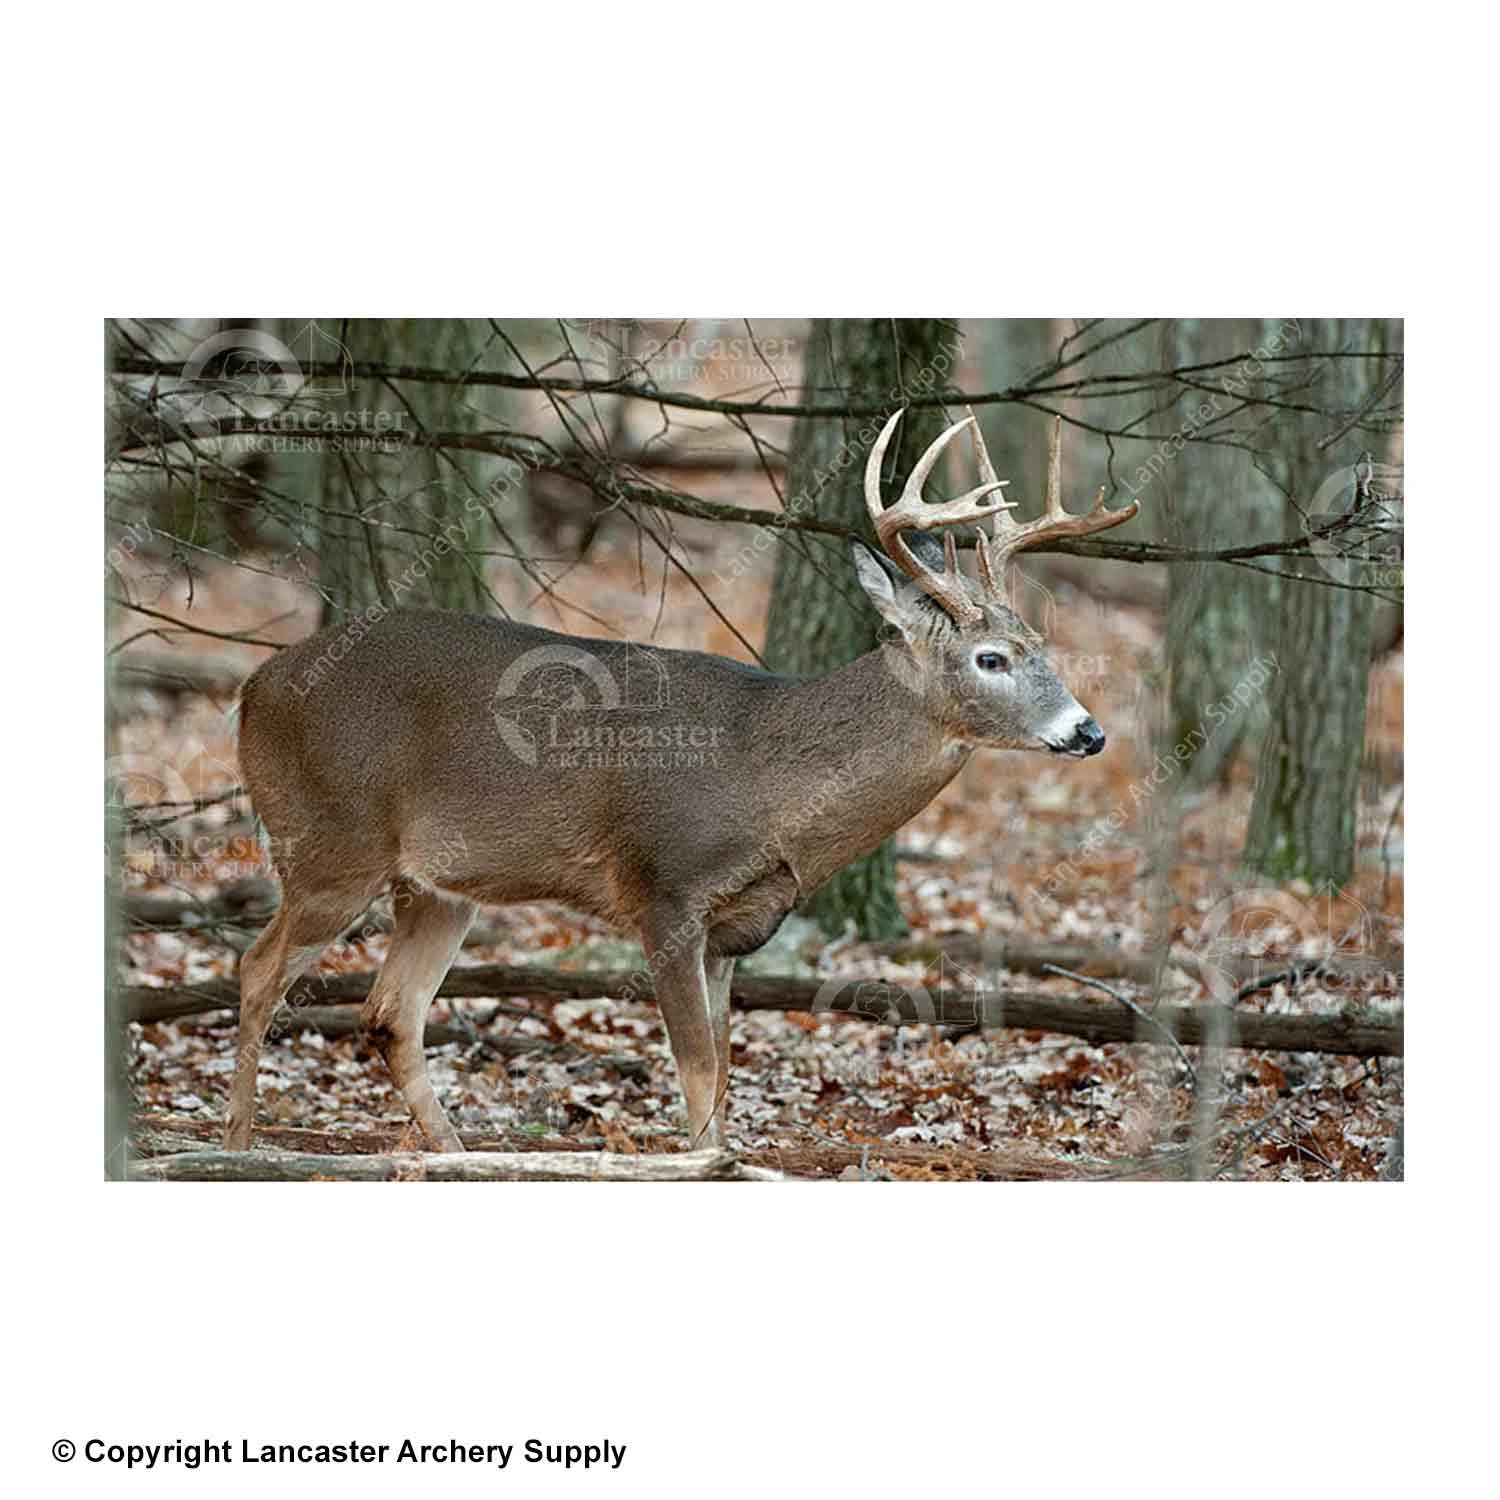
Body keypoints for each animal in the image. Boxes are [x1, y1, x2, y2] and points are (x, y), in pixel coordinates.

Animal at [223, 409, 1139, 1154]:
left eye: (1042, 646)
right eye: (992, 658)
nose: (1088, 732)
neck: (771, 785)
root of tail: (252, 688)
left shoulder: (735, 928)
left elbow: (726, 1073)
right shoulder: (663, 888)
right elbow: (697, 1072)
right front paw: (703, 1164)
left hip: (439, 885)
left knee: (390, 1012)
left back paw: (454, 1154)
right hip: (331, 843)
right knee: (260, 970)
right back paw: (240, 1141)